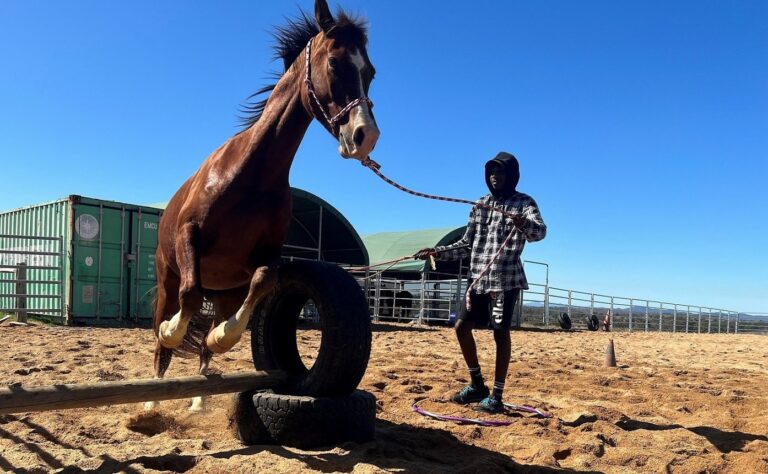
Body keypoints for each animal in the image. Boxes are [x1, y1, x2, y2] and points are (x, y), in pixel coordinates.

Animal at [145, 0, 380, 411]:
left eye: (371, 72)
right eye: (335, 62)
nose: (365, 136)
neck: (251, 174)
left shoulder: (266, 257)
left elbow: (262, 283)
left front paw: (222, 336)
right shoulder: (191, 236)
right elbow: (186, 301)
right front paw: (174, 331)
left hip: (225, 293)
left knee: (205, 341)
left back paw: (198, 401)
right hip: (166, 277)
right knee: (164, 339)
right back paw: (150, 404)